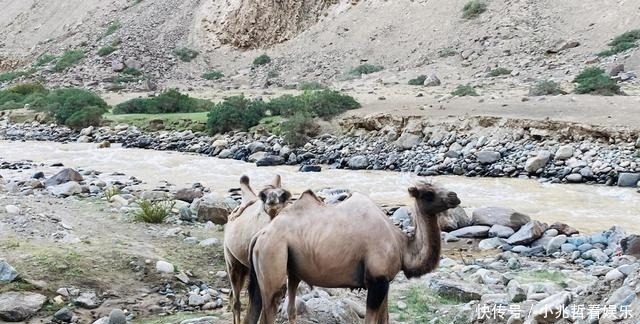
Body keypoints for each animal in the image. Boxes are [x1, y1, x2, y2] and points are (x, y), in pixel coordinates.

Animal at [224, 175, 292, 324]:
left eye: (284, 195)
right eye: (263, 195)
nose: (272, 199)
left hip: (245, 266)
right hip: (231, 259)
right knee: (236, 300)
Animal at [245, 181, 460, 322]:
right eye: (428, 193)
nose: (455, 196)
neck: (401, 245)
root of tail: (260, 235)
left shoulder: (384, 282)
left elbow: (385, 318)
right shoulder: (376, 280)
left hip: (287, 268)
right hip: (273, 254)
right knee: (270, 306)